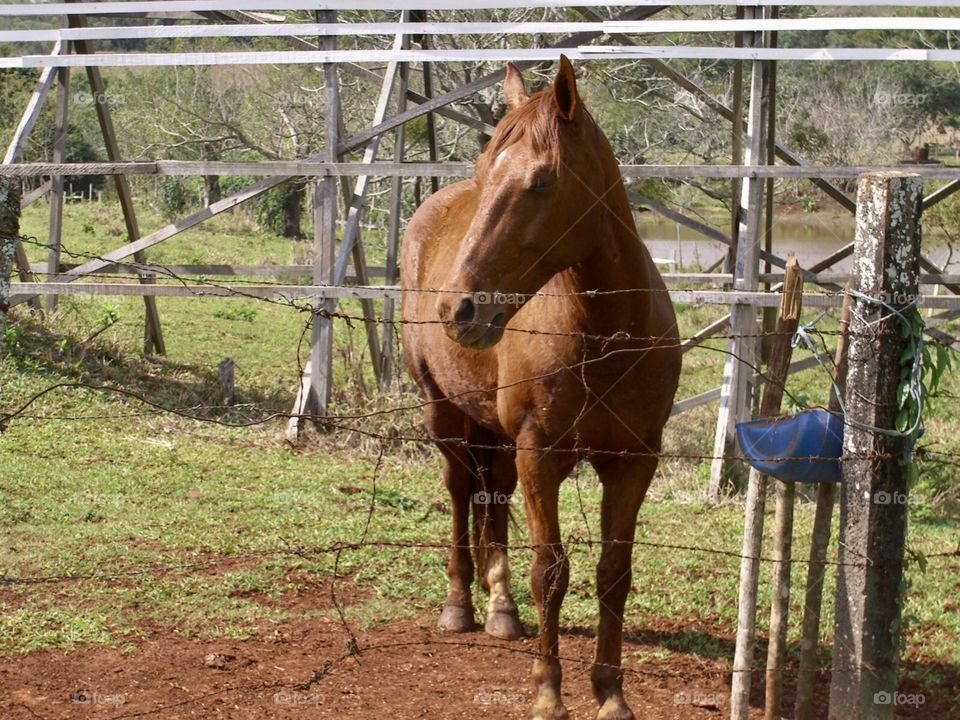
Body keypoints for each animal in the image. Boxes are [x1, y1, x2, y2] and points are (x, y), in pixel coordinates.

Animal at [400, 56, 681, 720]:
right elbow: (551, 572)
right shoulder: (542, 455)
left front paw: (611, 694)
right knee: (460, 492)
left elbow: (614, 573)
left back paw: (501, 609)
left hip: (497, 437)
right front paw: (549, 694)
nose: (460, 308)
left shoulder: (634, 460)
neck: (606, 336)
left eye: (543, 182)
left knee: (493, 494)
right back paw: (461, 605)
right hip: (443, 413)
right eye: (484, 174)